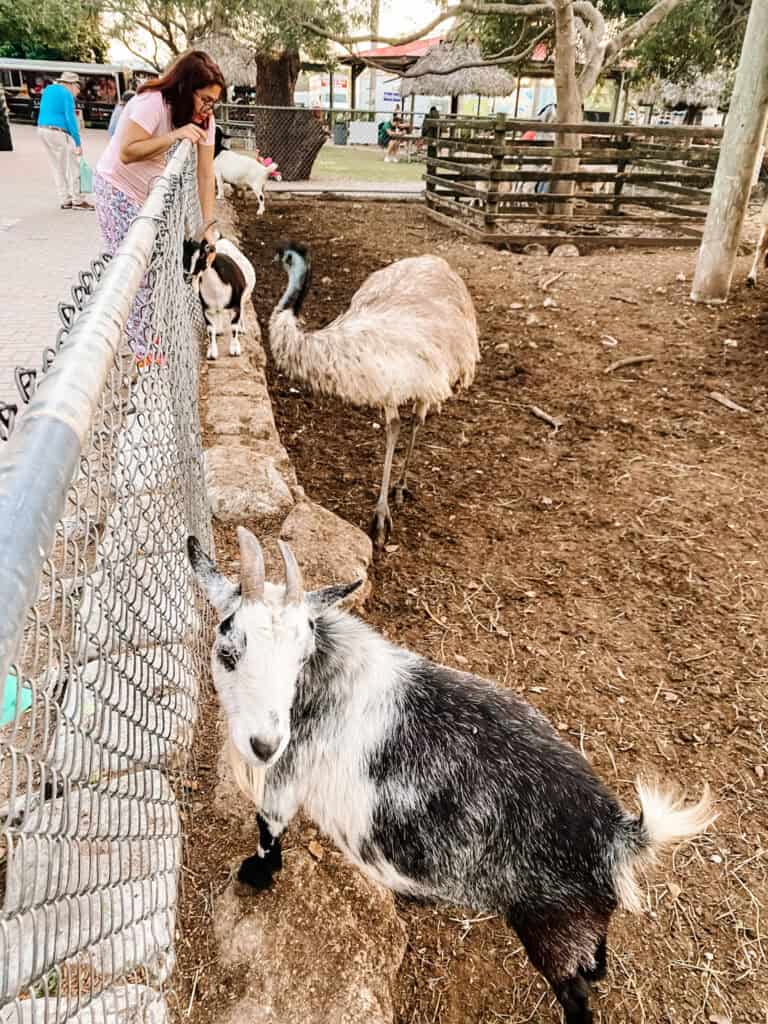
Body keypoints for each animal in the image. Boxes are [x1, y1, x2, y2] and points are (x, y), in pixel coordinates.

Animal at [182, 234, 256, 362]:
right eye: (184, 254)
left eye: (202, 255)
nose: (187, 276)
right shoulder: (207, 310)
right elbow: (210, 331)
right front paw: (212, 354)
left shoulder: (235, 307)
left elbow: (233, 328)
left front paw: (234, 350)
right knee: (219, 313)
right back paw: (220, 330)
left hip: (244, 295)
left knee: (242, 308)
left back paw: (242, 329)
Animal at [189, 528, 720, 1024]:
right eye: (228, 647)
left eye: (301, 656)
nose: (264, 742)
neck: (321, 683)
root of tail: (618, 833)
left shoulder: (285, 776)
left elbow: (268, 828)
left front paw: (255, 875)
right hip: (584, 920)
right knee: (596, 960)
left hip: (552, 925)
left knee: (577, 992)